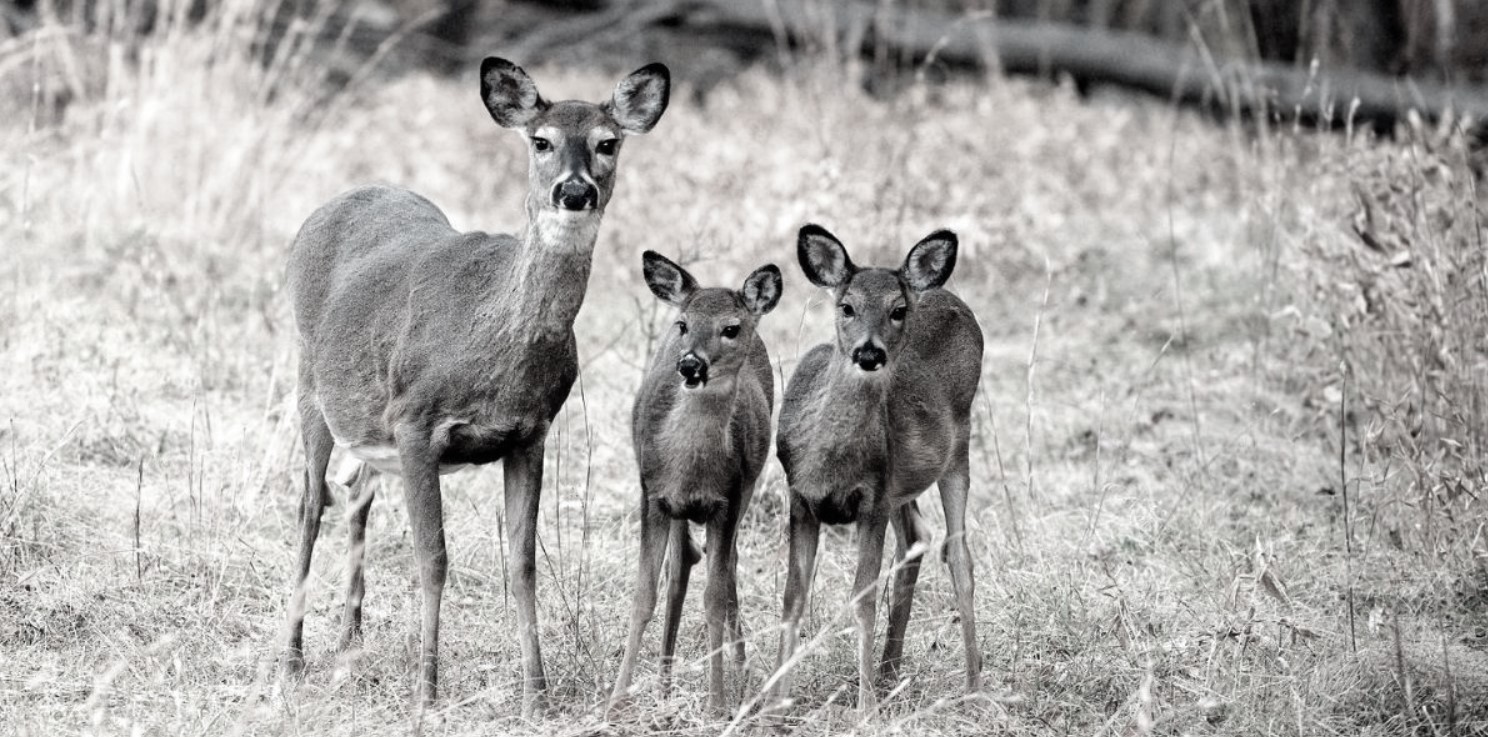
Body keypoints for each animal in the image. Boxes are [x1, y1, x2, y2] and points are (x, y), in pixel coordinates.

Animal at [278, 57, 669, 714]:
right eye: (541, 141)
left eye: (607, 143)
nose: (575, 192)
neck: (494, 350)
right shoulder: (414, 422)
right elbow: (433, 558)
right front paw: (427, 692)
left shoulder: (531, 433)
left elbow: (524, 561)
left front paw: (537, 695)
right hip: (309, 377)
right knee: (310, 501)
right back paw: (291, 656)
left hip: (364, 424)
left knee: (354, 491)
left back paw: (350, 643)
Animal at [610, 253, 785, 714]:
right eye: (683, 323)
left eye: (731, 328)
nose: (690, 364)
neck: (688, 470)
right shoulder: (652, 496)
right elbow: (644, 596)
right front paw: (615, 703)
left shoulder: (727, 500)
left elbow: (714, 600)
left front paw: (716, 704)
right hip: (677, 511)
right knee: (682, 563)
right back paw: (664, 683)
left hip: (747, 491)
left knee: (726, 568)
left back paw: (741, 674)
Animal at [767, 223, 988, 714]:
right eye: (846, 306)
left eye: (897, 310)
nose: (869, 354)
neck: (829, 465)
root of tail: (949, 295)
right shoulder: (801, 499)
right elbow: (793, 597)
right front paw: (771, 705)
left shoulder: (872, 501)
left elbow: (862, 599)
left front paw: (865, 708)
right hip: (903, 484)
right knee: (918, 537)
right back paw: (890, 671)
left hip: (958, 447)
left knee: (959, 555)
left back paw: (972, 686)